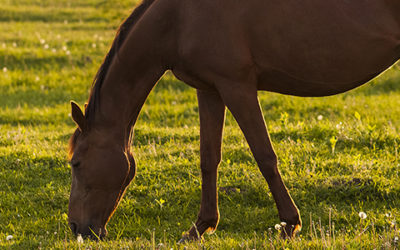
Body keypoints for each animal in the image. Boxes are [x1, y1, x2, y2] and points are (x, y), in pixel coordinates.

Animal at [66, 0, 400, 241]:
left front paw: (289, 224)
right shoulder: (210, 90)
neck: (179, 18)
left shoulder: (237, 87)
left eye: (76, 163)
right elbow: (208, 158)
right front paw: (201, 227)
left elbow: (265, 156)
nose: (76, 228)